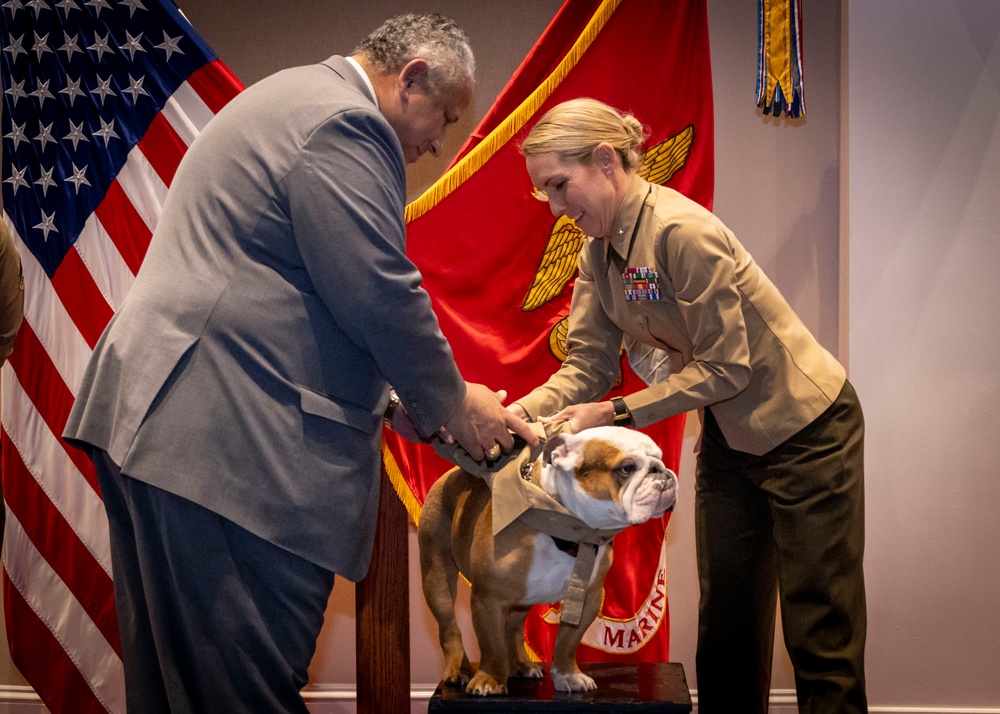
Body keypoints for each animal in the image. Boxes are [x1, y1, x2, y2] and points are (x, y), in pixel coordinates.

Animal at [418, 426, 676, 692]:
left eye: (660, 458)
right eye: (627, 468)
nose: (662, 470)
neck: (568, 530)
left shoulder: (588, 599)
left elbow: (568, 642)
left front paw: (568, 675)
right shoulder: (488, 598)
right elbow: (491, 645)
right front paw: (489, 679)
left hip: (523, 599)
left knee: (513, 629)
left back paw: (521, 664)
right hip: (437, 577)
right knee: (449, 626)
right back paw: (458, 669)